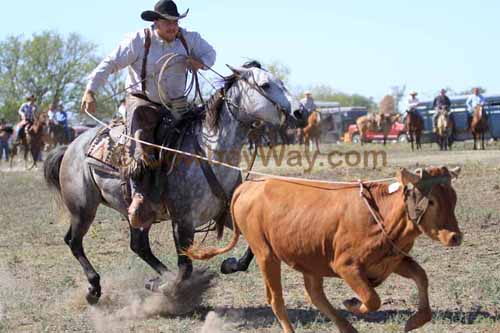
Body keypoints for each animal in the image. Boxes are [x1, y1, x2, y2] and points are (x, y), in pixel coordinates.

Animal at [187, 166, 460, 332]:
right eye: (431, 201)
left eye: (454, 199)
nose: (455, 236)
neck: (381, 214)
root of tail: (249, 186)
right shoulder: (346, 266)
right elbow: (372, 299)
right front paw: (352, 303)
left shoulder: (393, 260)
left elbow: (421, 277)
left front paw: (415, 321)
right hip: (265, 254)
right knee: (277, 299)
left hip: (309, 258)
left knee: (315, 294)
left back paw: (347, 328)